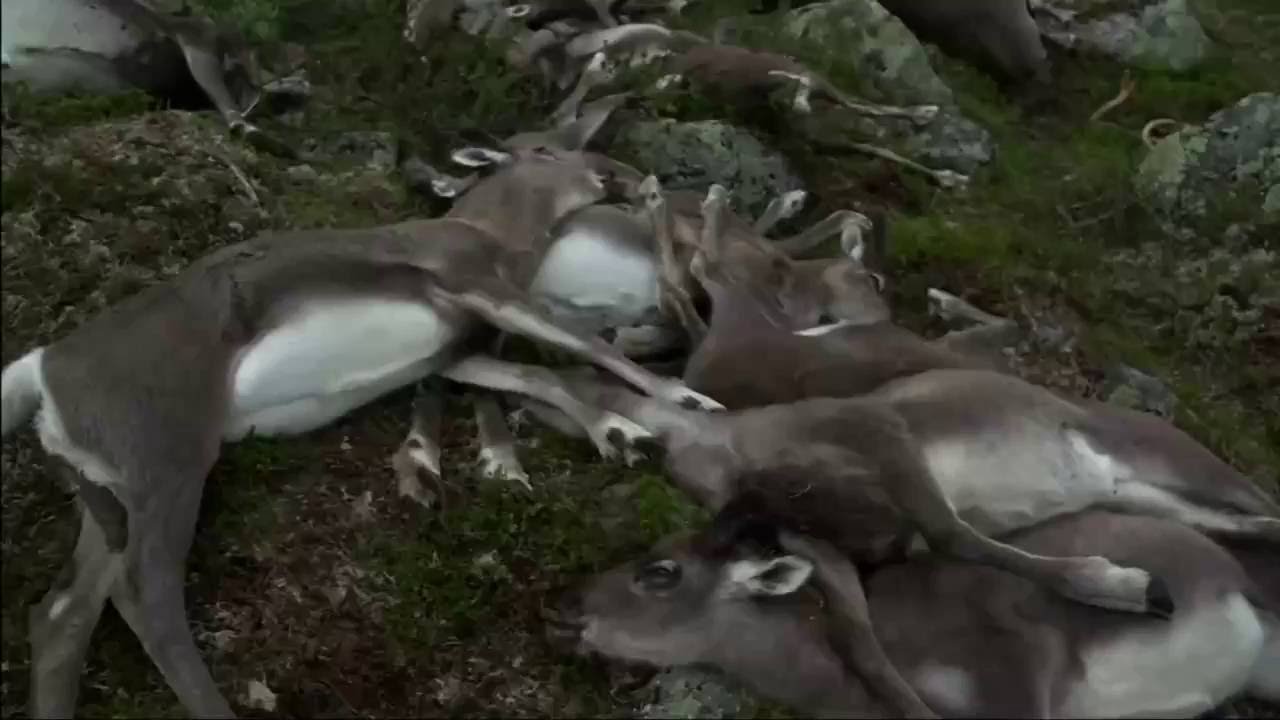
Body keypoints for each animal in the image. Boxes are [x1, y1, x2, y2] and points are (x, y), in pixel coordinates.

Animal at [0, 142, 735, 718]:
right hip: (169, 452)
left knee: (61, 612)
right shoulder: (474, 282)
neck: (499, 238)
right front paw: (688, 399)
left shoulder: (456, 349)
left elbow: (542, 377)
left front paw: (619, 433)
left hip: (105, 489)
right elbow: (585, 348)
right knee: (144, 594)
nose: (624, 172)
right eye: (548, 148)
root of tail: (41, 370)